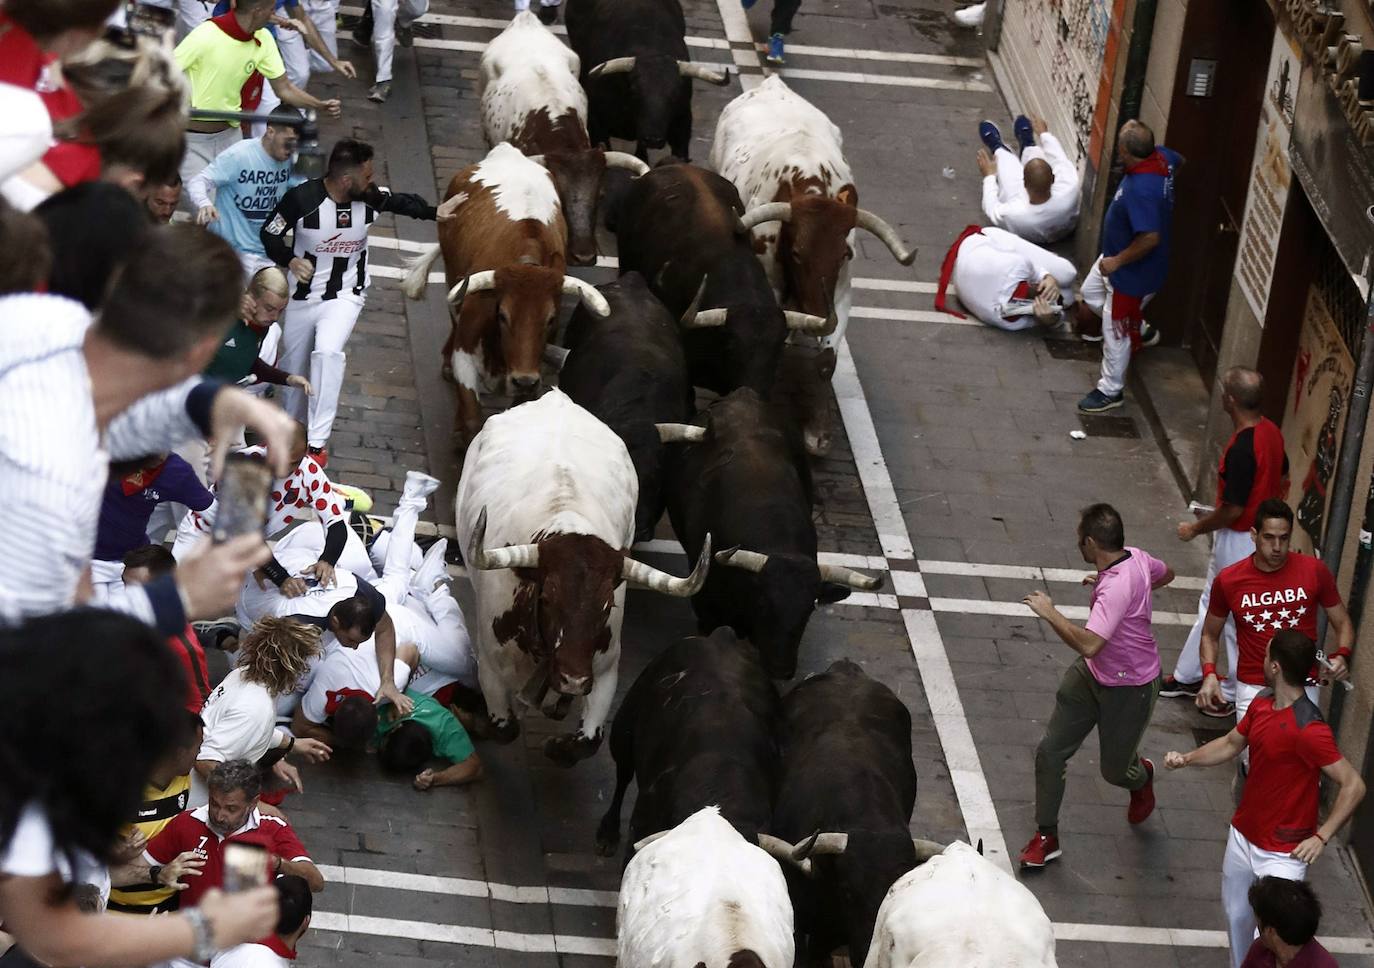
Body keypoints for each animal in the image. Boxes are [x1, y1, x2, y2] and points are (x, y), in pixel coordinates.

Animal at [456, 389, 714, 768]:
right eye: (547, 598)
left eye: (607, 606)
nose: (573, 681)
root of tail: (555, 397)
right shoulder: (490, 665)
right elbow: (505, 728)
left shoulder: (605, 669)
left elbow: (589, 742)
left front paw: (557, 745)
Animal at [714, 75, 917, 453]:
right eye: (796, 252)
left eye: (844, 255)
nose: (817, 315)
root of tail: (772, 83)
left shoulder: (841, 294)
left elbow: (826, 361)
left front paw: (818, 434)